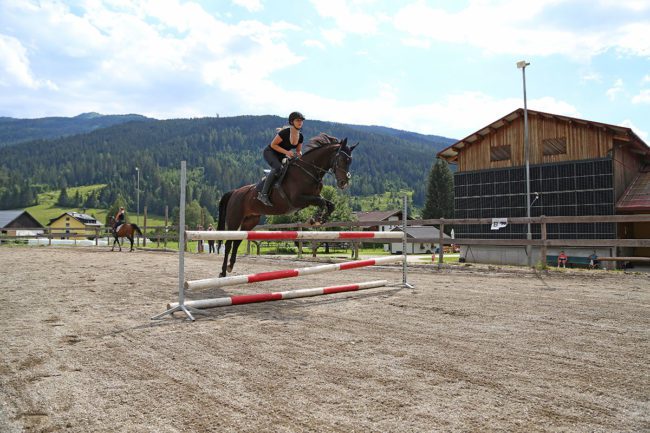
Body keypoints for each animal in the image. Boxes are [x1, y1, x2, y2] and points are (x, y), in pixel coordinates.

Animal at [218, 135, 360, 276]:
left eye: (350, 160)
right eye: (342, 159)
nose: (343, 183)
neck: (309, 171)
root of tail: (235, 192)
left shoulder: (311, 198)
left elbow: (330, 204)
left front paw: (320, 219)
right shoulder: (297, 200)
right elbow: (321, 202)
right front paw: (316, 219)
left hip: (250, 220)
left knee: (237, 241)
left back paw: (230, 266)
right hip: (234, 219)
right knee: (229, 243)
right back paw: (223, 271)